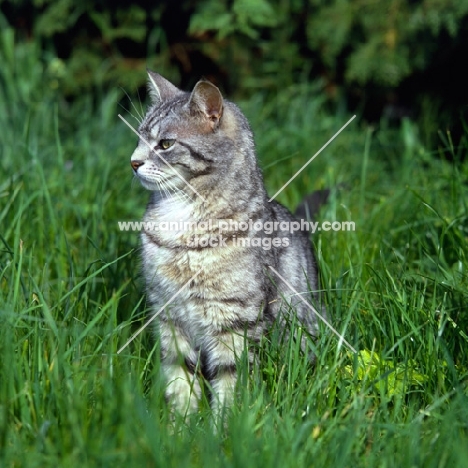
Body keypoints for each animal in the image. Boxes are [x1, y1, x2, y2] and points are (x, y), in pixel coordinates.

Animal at [130, 71, 324, 418]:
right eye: (138, 139)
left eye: (165, 143)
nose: (133, 162)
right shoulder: (169, 317)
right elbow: (180, 380)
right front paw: (180, 425)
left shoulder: (237, 322)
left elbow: (232, 384)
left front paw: (222, 428)